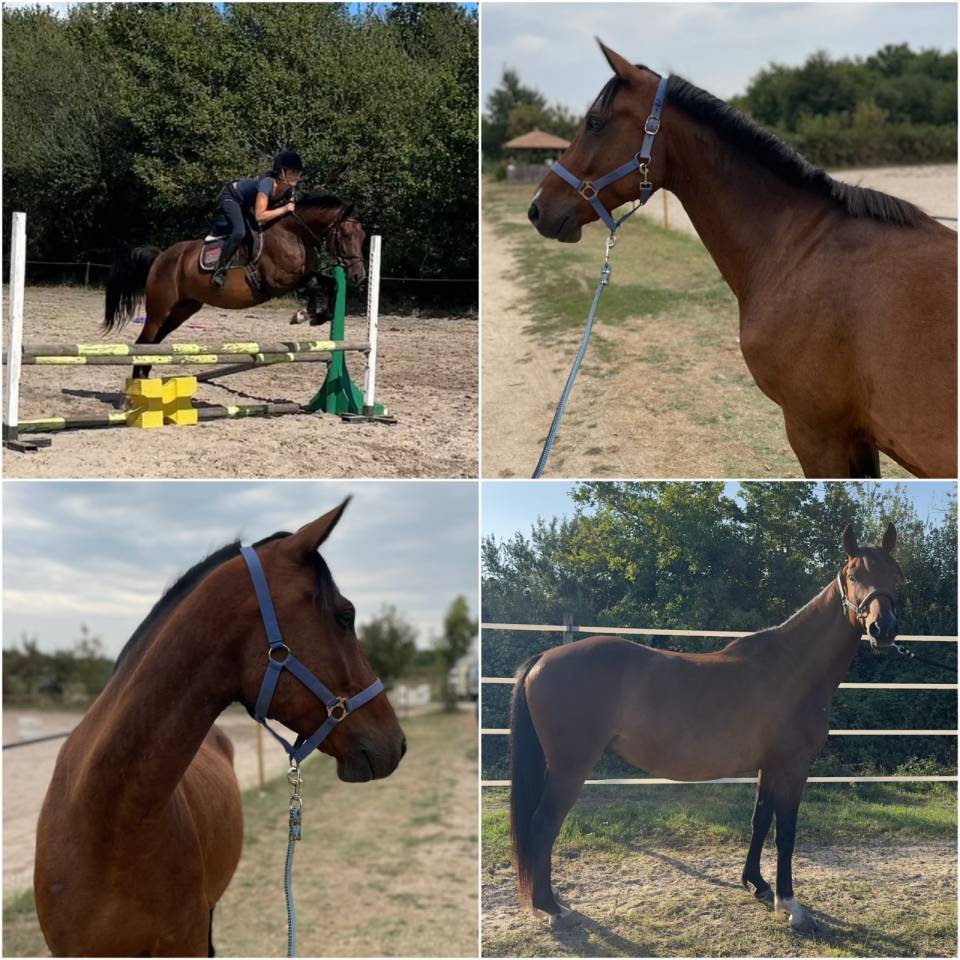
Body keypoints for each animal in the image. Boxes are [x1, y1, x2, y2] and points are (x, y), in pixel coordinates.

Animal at [103, 195, 367, 379]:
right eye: (345, 236)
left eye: (363, 237)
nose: (358, 276)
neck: (294, 234)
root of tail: (160, 257)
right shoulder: (278, 281)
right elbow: (314, 282)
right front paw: (304, 315)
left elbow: (330, 283)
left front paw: (318, 315)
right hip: (160, 309)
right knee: (144, 341)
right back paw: (135, 388)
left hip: (182, 310)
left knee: (154, 343)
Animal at [509, 522, 901, 933]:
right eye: (854, 575)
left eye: (897, 575)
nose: (883, 628)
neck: (793, 666)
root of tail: (542, 659)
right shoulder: (793, 768)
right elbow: (786, 834)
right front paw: (790, 905)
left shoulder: (768, 767)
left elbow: (759, 821)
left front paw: (756, 884)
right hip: (570, 769)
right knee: (543, 825)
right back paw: (551, 908)